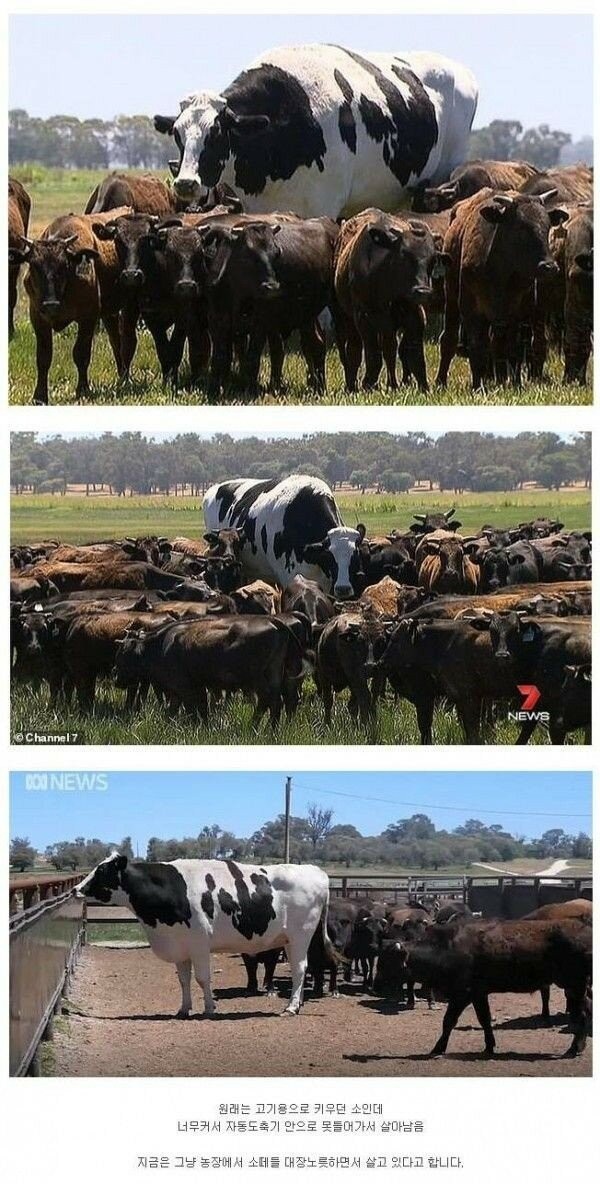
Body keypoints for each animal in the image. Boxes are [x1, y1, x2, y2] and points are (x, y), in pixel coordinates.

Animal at [76, 857, 336, 1013]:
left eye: (102, 870)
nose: (77, 888)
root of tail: (315, 871)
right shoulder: (180, 945)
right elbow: (183, 980)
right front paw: (184, 1009)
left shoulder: (199, 943)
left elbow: (203, 978)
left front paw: (210, 1008)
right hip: (294, 940)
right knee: (302, 967)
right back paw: (298, 1003)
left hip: (300, 936)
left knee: (299, 968)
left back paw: (291, 1008)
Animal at [204, 473, 366, 596]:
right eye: (329, 555)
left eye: (355, 554)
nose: (343, 588)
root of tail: (215, 487)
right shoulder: (288, 577)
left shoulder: (325, 581)